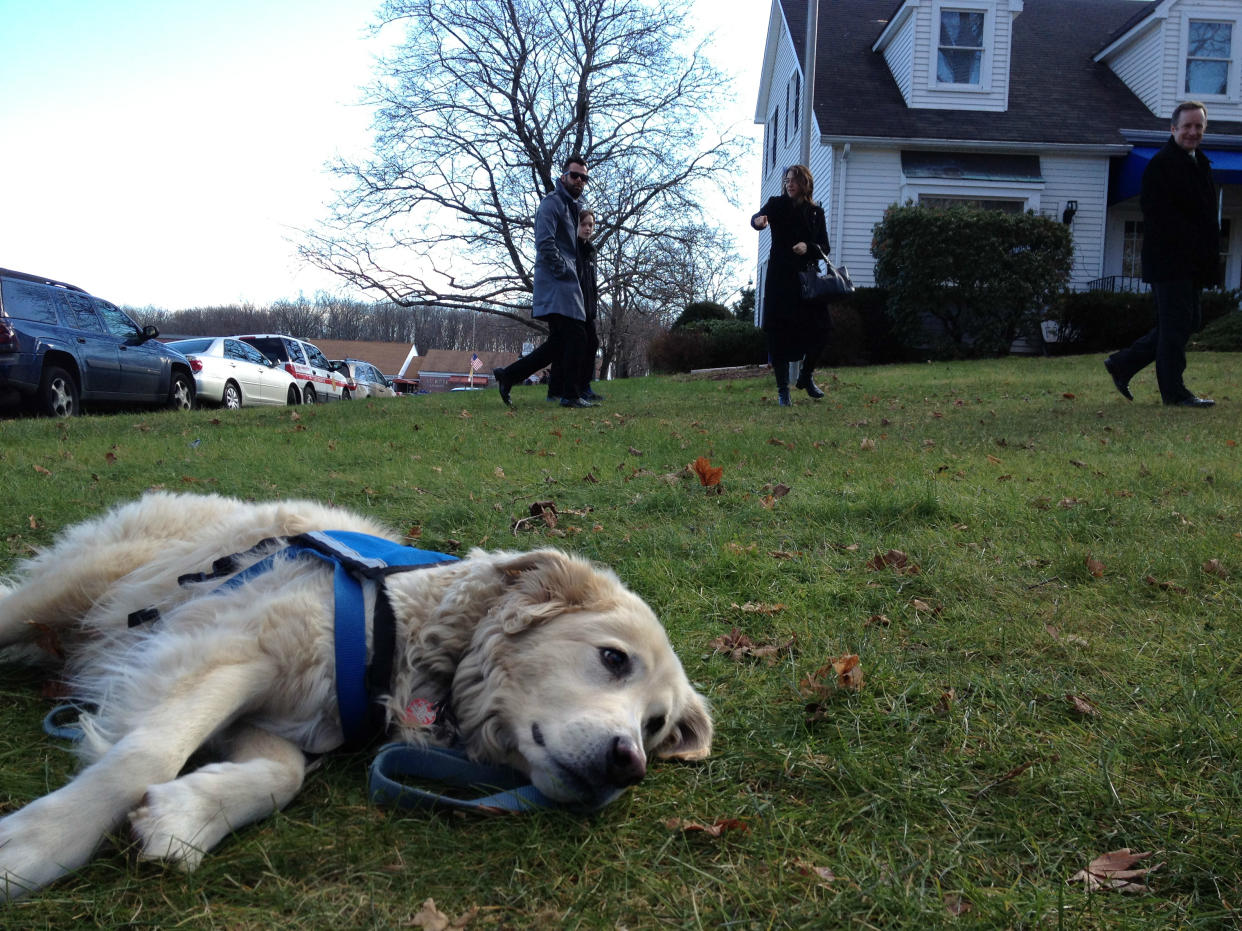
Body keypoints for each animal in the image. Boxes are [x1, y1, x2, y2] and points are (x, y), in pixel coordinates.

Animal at [0, 491, 715, 898]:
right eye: (612, 659)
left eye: (654, 725)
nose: (629, 765)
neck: (410, 637)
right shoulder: (229, 650)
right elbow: (143, 755)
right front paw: (38, 843)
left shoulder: (287, 715)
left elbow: (282, 776)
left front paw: (189, 815)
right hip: (66, 591)